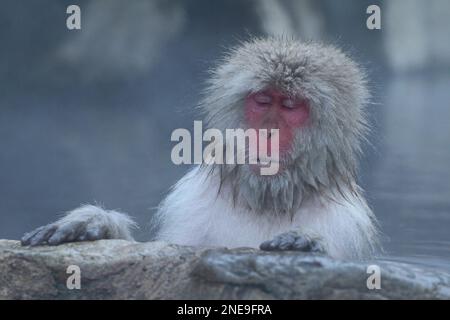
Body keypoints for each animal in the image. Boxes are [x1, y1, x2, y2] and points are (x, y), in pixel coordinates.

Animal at [21, 37, 380, 260]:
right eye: (263, 101)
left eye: (291, 106)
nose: (267, 132)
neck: (268, 199)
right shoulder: (189, 202)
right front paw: (93, 223)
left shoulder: (348, 223)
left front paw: (307, 240)